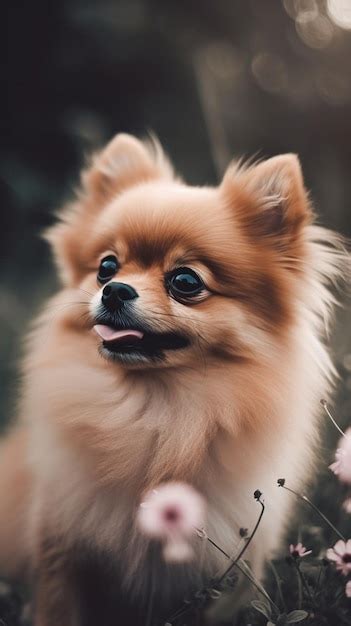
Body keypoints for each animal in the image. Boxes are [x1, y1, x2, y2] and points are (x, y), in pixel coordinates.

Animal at [0, 132, 348, 620]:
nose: (114, 289)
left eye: (185, 281)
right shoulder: (60, 557)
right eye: (106, 267)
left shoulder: (228, 575)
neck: (156, 412)